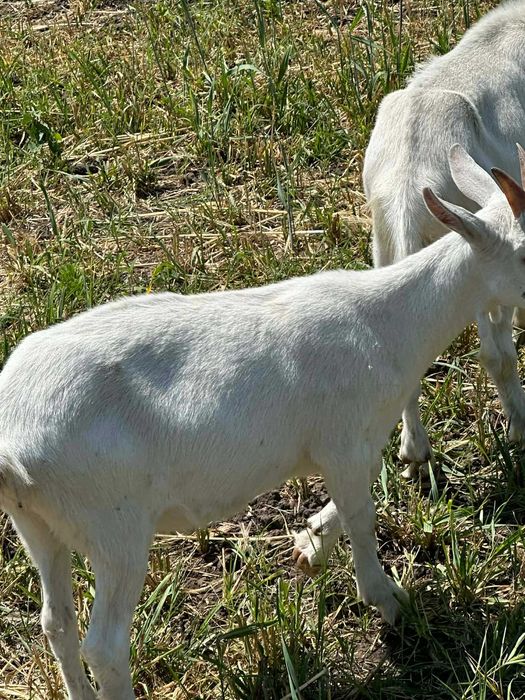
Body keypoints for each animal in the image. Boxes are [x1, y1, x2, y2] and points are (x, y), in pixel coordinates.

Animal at [2, 149, 525, 699]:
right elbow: (362, 515)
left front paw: (311, 544)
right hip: (114, 526)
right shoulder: (342, 441)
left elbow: (356, 496)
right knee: (103, 647)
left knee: (56, 622)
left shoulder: (350, 446)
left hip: (39, 524)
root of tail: (12, 448)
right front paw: (387, 599)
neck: (388, 323)